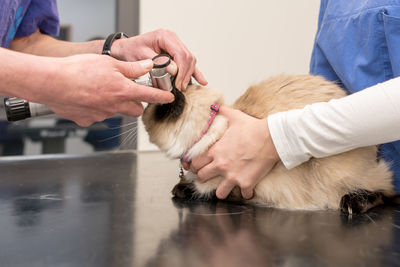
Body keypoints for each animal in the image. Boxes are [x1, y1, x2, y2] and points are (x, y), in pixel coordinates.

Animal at [142, 74, 396, 215]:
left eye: (148, 109)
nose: (141, 111)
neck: (211, 125)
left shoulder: (231, 185)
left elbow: (207, 192)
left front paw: (185, 188)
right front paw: (181, 186)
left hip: (334, 171)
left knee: (385, 193)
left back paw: (353, 203)